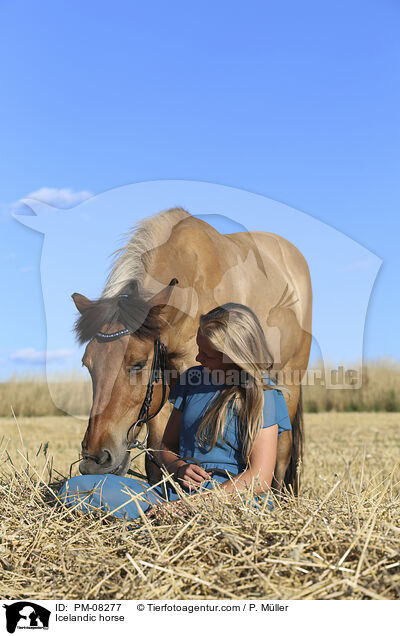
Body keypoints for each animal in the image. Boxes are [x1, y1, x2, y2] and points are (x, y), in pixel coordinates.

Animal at [72, 209, 312, 492]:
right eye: (88, 364)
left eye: (138, 363)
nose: (94, 460)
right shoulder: (164, 388)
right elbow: (157, 456)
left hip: (290, 377)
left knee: (283, 450)